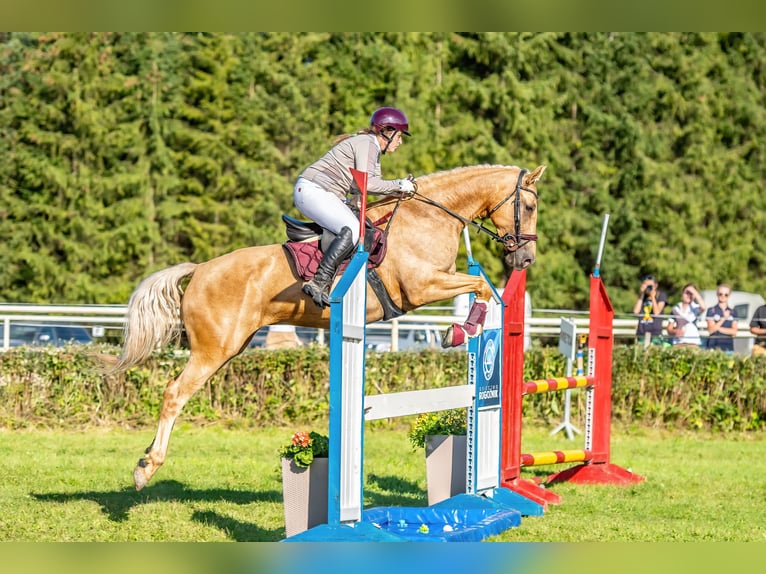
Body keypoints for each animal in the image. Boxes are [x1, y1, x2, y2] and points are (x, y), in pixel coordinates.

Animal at [112, 163, 544, 490]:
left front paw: (462, 329)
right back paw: (146, 468)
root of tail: (200, 268)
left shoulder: (435, 282)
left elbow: (479, 289)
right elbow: (479, 288)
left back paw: (145, 456)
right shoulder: (422, 286)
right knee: (174, 394)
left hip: (231, 346)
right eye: (528, 204)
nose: (525, 259)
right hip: (214, 349)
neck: (430, 217)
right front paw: (460, 331)